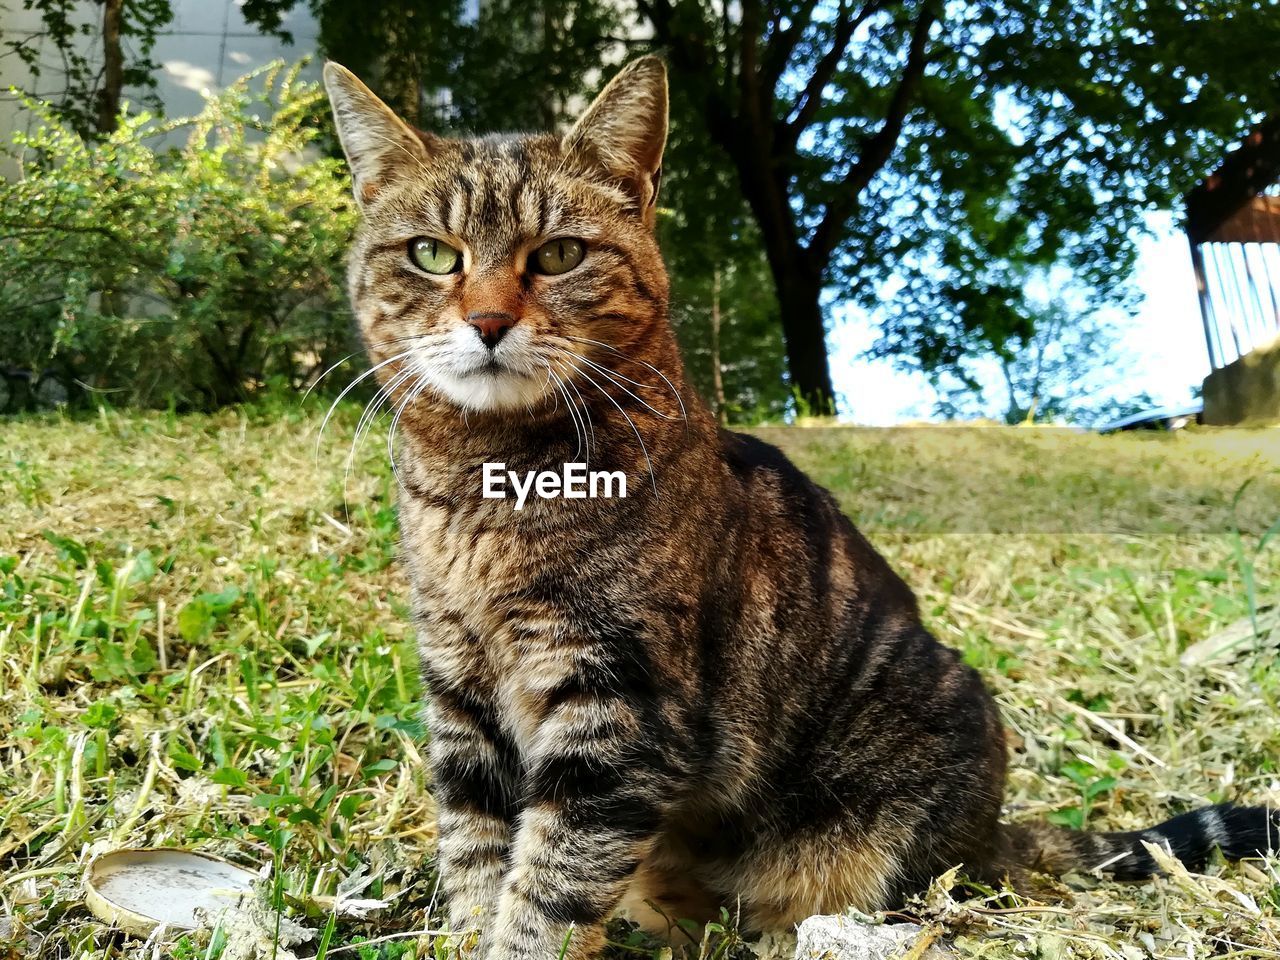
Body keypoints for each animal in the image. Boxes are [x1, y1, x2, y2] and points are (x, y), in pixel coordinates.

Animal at [322, 58, 1280, 960]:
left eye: (558, 255)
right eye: (433, 254)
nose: (486, 321)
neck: (486, 486)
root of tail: (992, 831)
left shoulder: (619, 705)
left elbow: (551, 885)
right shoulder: (461, 690)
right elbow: (478, 855)